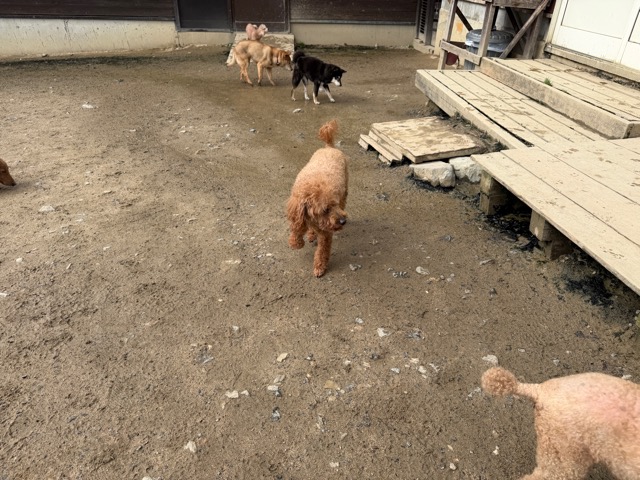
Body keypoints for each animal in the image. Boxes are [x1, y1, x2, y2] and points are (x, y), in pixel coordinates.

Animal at [286, 120, 348, 277]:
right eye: (325, 209)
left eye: (335, 204)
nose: (343, 221)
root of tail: (329, 147)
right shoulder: (298, 212)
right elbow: (296, 229)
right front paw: (297, 242)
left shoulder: (326, 234)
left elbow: (322, 251)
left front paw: (319, 267)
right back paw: (311, 234)